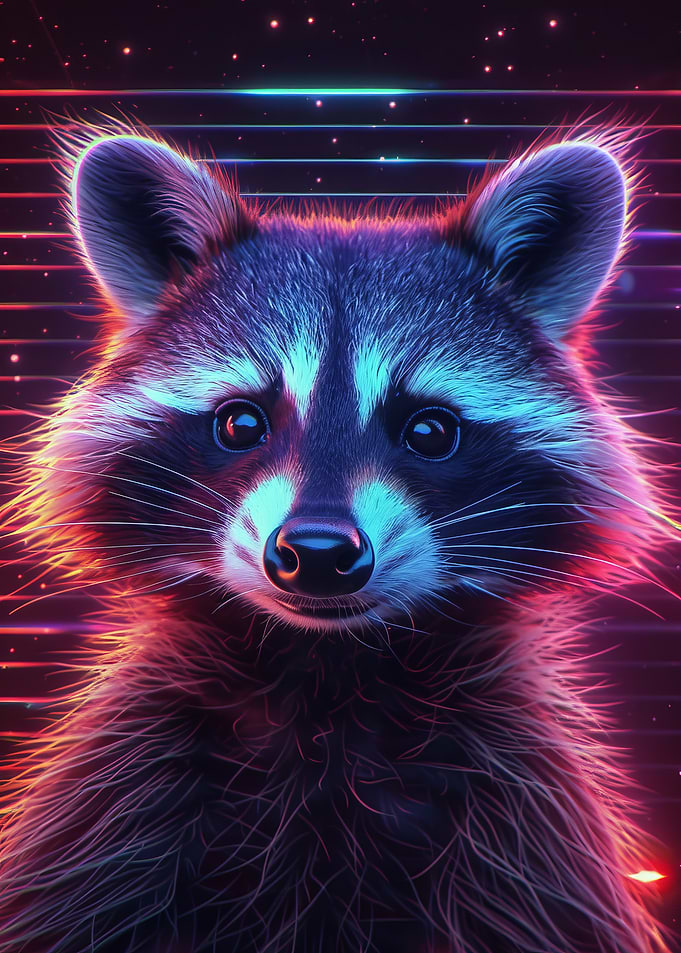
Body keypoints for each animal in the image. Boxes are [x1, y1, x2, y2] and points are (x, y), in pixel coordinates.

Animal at [0, 123, 675, 953]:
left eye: (429, 430)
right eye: (241, 422)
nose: (318, 554)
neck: (327, 680)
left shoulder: (521, 829)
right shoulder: (123, 803)